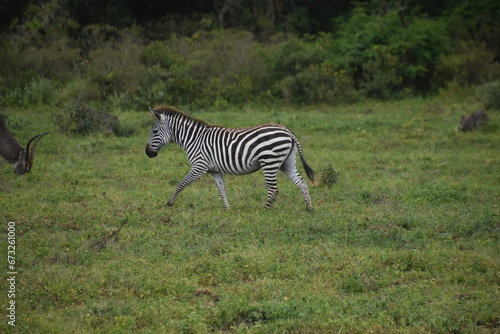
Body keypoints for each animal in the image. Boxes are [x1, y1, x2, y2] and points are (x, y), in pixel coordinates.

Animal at [145, 105, 314, 211]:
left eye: (154, 131)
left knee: (273, 189)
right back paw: (309, 208)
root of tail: (287, 131)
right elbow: (222, 190)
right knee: (302, 182)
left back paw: (264, 210)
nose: (147, 153)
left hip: (270, 162)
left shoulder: (199, 166)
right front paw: (227, 209)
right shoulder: (214, 170)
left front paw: (169, 203)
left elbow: (181, 184)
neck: (194, 139)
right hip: (286, 163)